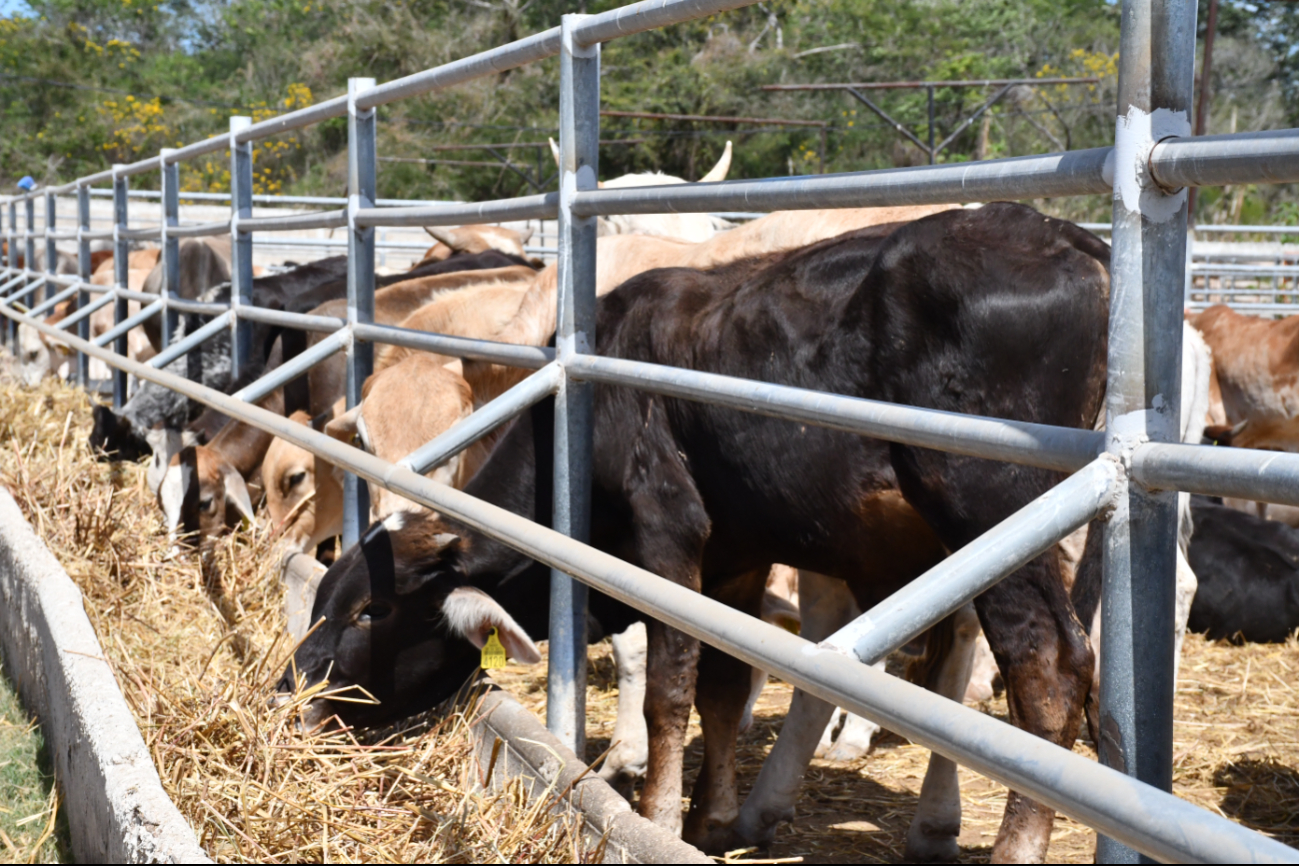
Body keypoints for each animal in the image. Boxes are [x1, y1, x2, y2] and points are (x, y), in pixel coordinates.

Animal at [281, 203, 1106, 862]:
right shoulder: (736, 559)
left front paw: (655, 812)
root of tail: (1062, 235)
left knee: (1048, 672)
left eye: (371, 612)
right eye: (322, 599)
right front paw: (709, 816)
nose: (292, 699)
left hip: (990, 506)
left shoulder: (668, 533)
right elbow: (723, 685)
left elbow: (669, 685)